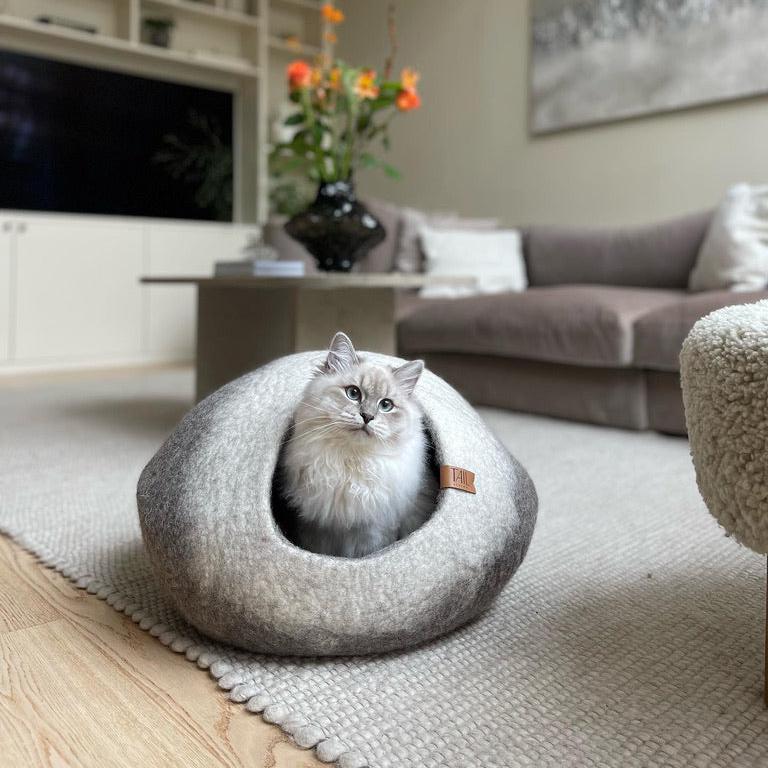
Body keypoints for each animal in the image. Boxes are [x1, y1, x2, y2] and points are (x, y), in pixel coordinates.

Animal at [280, 330, 438, 560]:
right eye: (353, 393)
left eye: (386, 405)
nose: (367, 417)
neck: (350, 462)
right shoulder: (316, 529)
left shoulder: (373, 532)